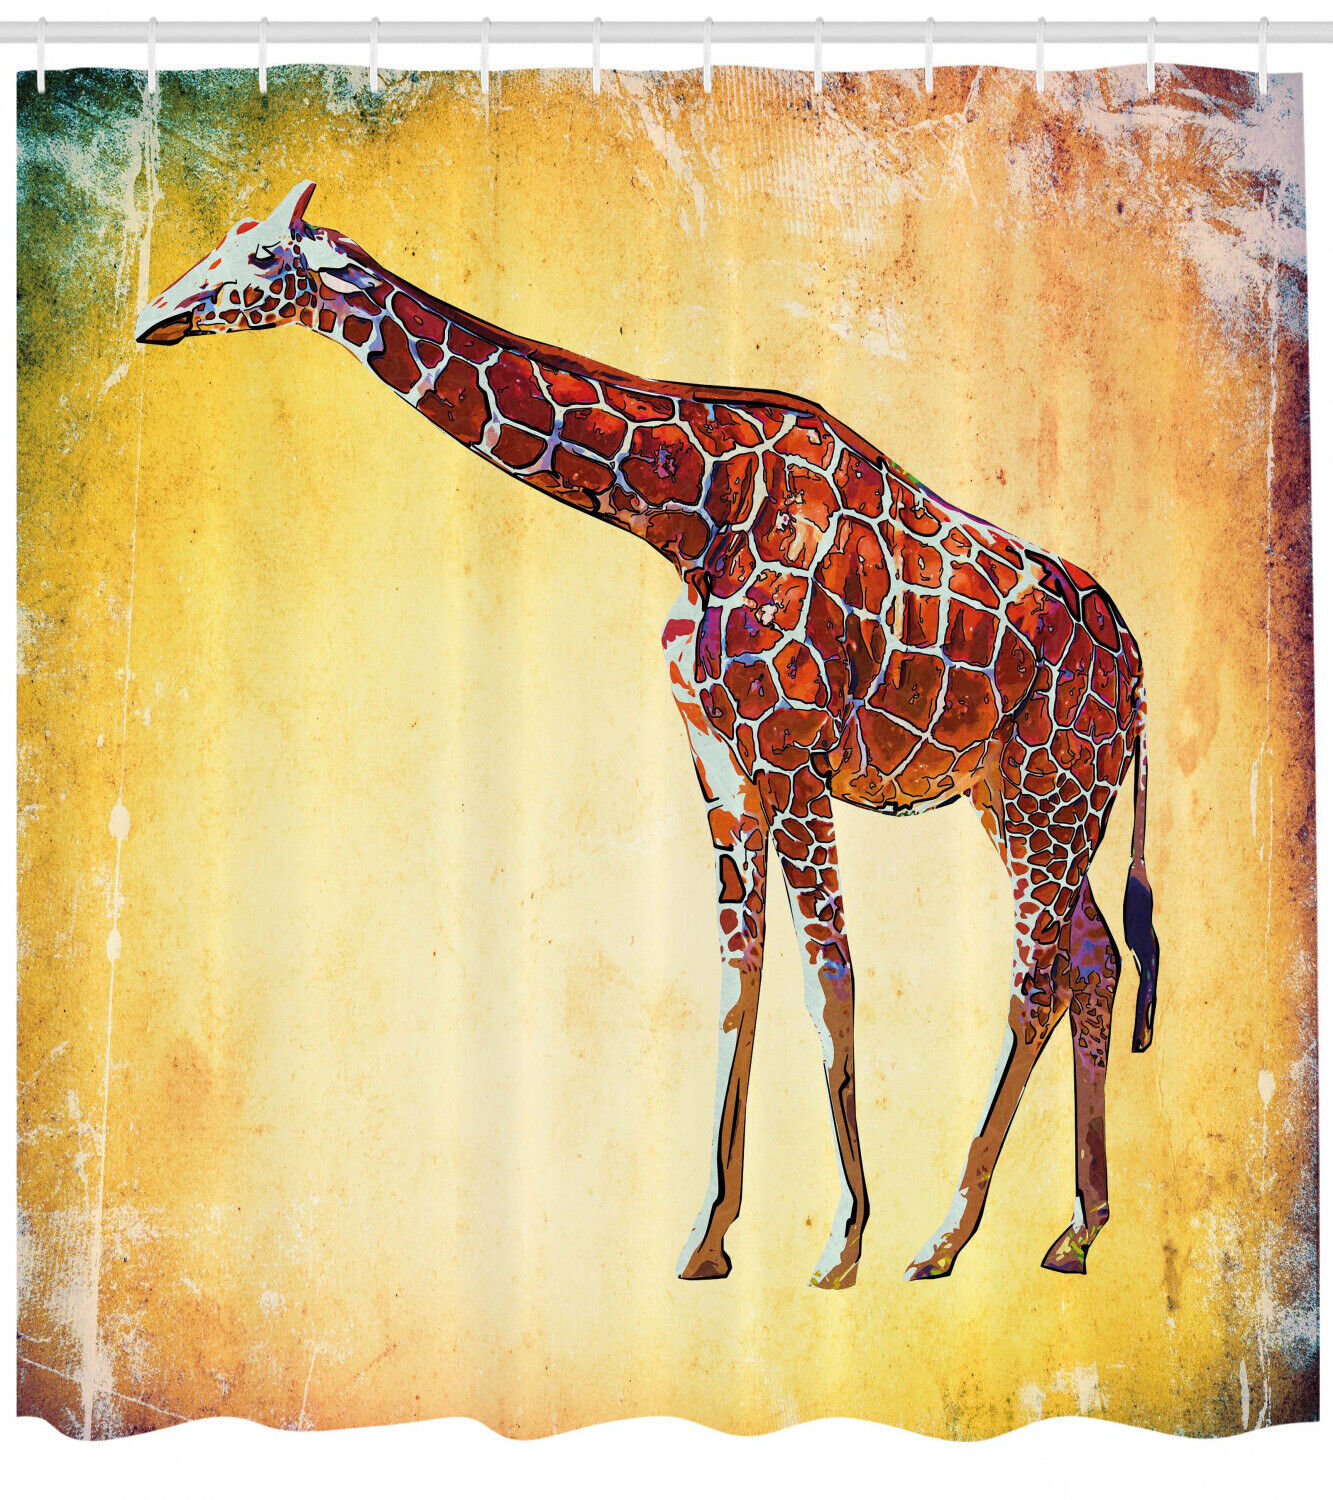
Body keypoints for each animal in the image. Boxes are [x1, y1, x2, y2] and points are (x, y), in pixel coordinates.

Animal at [136, 181, 1161, 1289]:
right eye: (223, 242)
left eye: (260, 260)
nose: (155, 314)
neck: (691, 512)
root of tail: (1138, 669)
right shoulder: (721, 764)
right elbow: (735, 983)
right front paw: (706, 1239)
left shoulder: (791, 755)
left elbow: (829, 983)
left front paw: (842, 1242)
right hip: (1019, 797)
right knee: (1094, 961)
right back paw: (1076, 1231)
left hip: (1054, 788)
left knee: (1036, 980)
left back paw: (942, 1239)